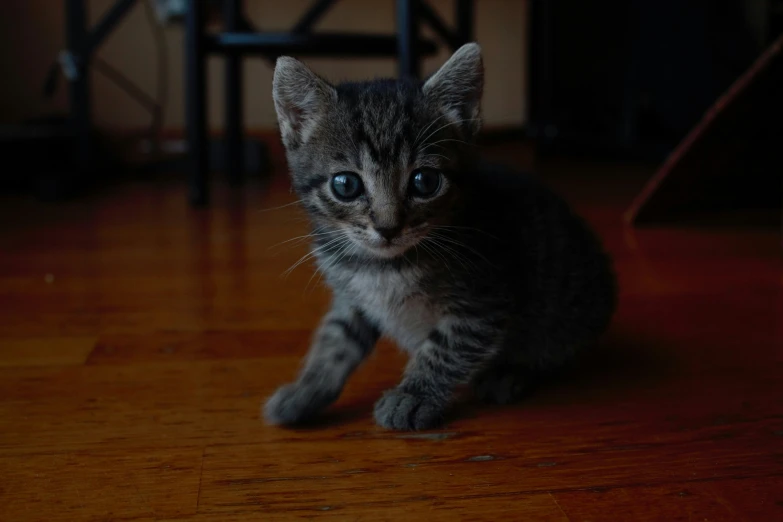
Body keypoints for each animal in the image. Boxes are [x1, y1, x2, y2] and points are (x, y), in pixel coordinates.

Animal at [264, 42, 620, 428]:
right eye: (346, 185)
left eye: (425, 181)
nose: (388, 227)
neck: (382, 267)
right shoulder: (352, 298)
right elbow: (334, 341)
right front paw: (304, 392)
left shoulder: (483, 299)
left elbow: (445, 348)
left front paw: (414, 395)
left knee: (551, 349)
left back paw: (509, 374)